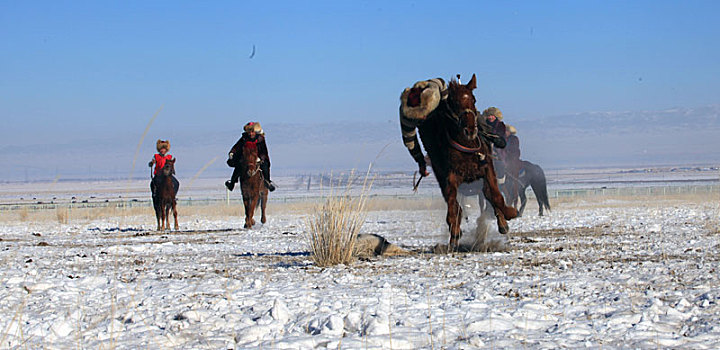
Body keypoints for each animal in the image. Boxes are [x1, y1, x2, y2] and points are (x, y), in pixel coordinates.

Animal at [402, 74, 516, 249]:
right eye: (454, 103)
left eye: (473, 99)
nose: (470, 130)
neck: (466, 147)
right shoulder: (450, 177)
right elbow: (453, 206)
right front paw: (454, 233)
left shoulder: (487, 169)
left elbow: (496, 196)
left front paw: (508, 215)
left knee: (489, 196)